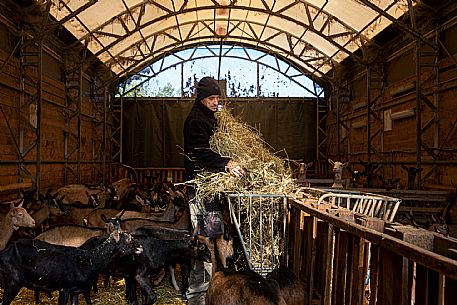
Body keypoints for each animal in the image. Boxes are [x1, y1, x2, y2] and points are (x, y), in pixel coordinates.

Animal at [0, 228, 142, 304]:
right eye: (128, 239)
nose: (141, 247)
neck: (88, 261)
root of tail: (3, 253)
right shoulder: (64, 289)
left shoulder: (76, 291)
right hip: (12, 282)